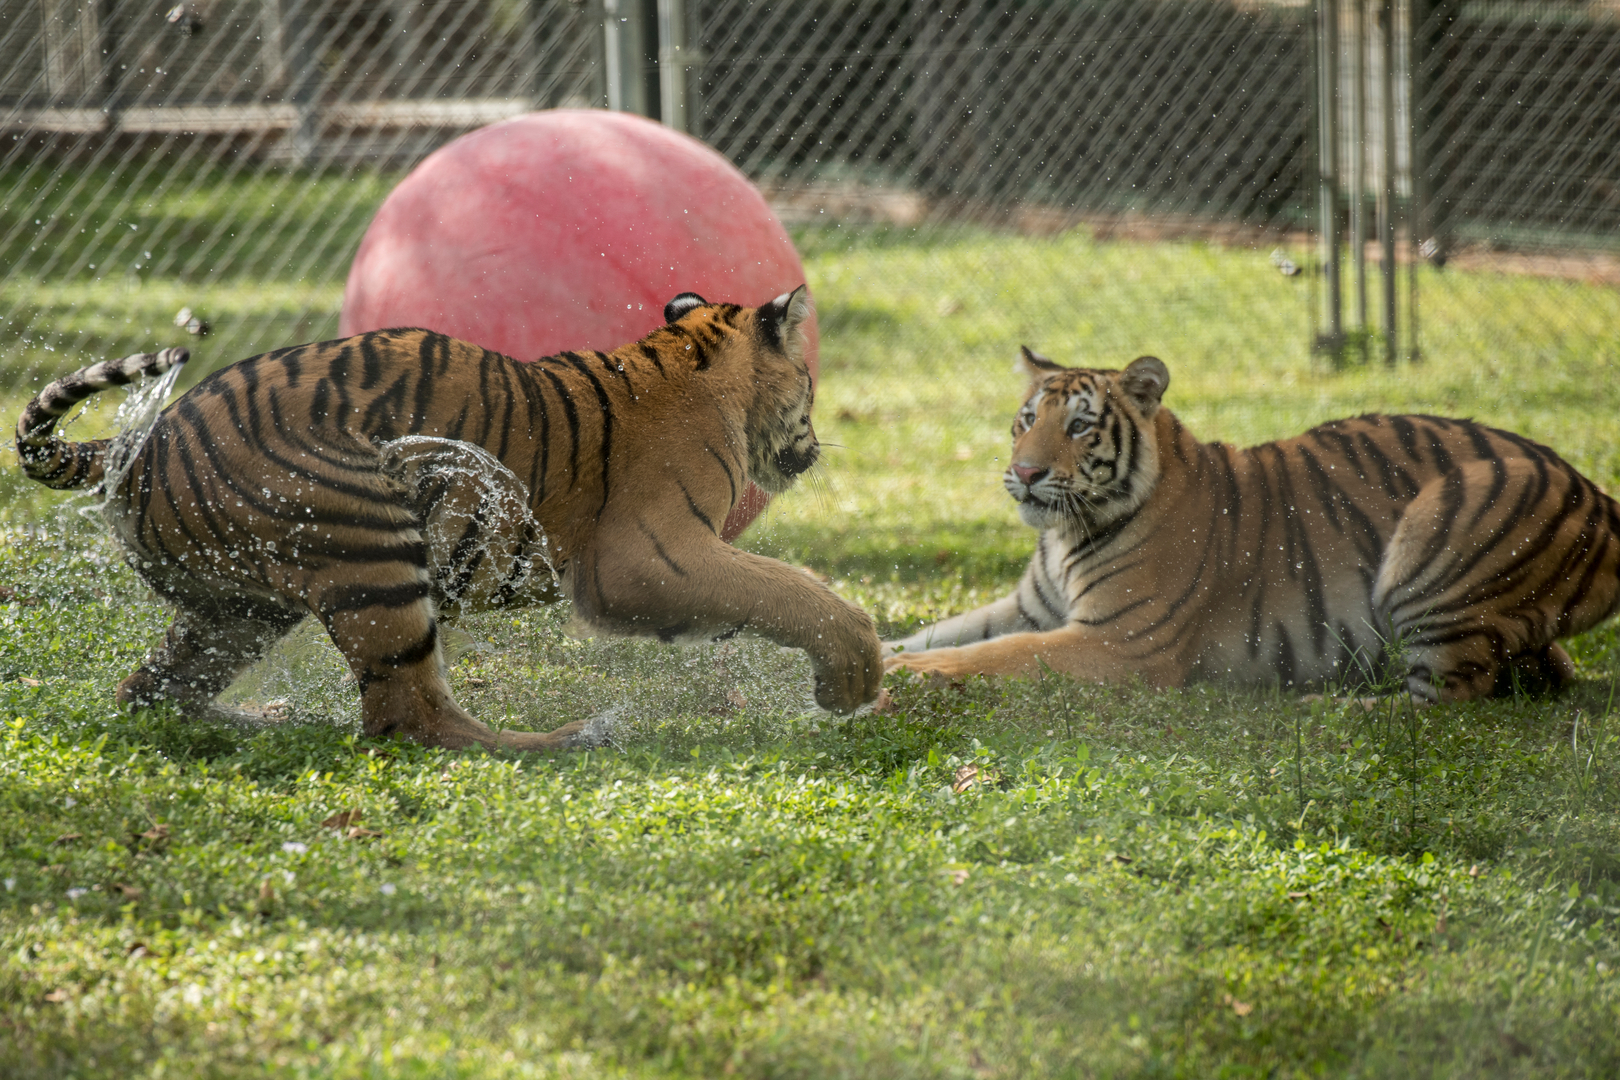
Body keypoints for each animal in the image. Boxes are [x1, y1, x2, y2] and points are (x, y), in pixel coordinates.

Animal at [19, 286, 881, 748]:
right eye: (808, 380)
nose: (813, 446)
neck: (687, 356)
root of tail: (139, 441)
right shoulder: (646, 558)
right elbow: (786, 590)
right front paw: (853, 677)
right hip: (371, 543)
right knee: (409, 718)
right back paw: (571, 737)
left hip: (238, 607)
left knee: (150, 690)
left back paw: (270, 718)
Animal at [887, 348, 1620, 702]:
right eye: (1025, 421)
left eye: (1080, 426)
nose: (1027, 472)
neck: (1065, 534)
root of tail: (1597, 492)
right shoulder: (1029, 608)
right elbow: (934, 632)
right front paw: (885, 652)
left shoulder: (1120, 641)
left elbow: (997, 654)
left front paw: (912, 674)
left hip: (1450, 514)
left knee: (1447, 698)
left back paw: (1330, 712)